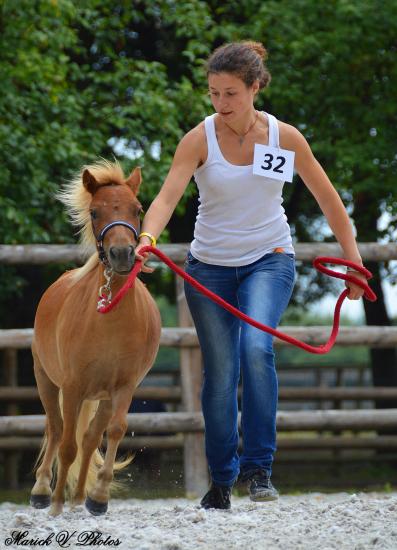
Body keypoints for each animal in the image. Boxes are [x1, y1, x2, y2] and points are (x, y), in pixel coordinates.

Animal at [29, 161, 161, 516]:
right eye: (94, 212)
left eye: (137, 208)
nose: (121, 254)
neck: (108, 319)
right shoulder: (73, 386)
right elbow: (66, 444)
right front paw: (56, 505)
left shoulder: (123, 387)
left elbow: (111, 431)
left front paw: (98, 497)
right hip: (46, 380)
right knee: (56, 428)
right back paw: (44, 491)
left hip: (100, 396)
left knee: (89, 438)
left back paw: (78, 500)